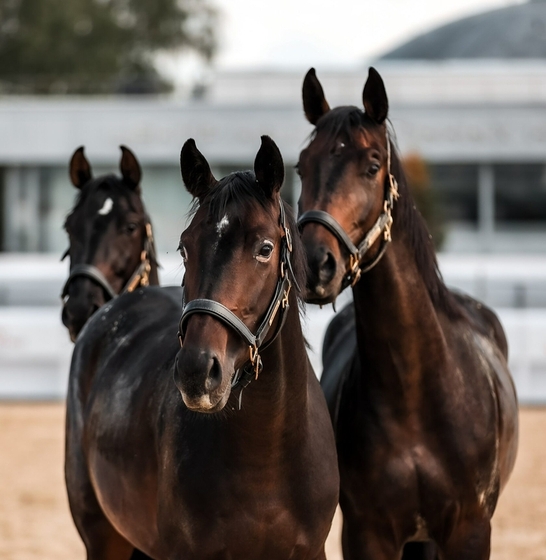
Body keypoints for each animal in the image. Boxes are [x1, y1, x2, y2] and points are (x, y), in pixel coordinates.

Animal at [296, 68, 516, 556]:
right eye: (301, 167)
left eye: (373, 164)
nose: (314, 263)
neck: (415, 393)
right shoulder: (367, 532)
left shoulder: (471, 530)